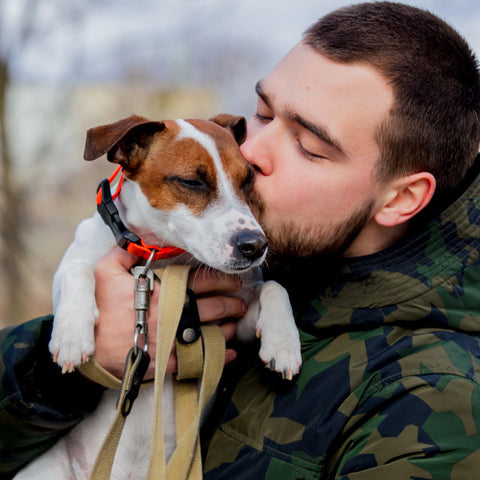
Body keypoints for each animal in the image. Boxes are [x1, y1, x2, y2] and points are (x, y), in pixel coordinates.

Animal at [14, 113, 300, 480]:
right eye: (192, 182)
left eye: (248, 179)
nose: (255, 245)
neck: (162, 258)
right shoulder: (72, 264)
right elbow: (77, 271)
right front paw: (72, 336)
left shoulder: (236, 320)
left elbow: (274, 288)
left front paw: (284, 343)